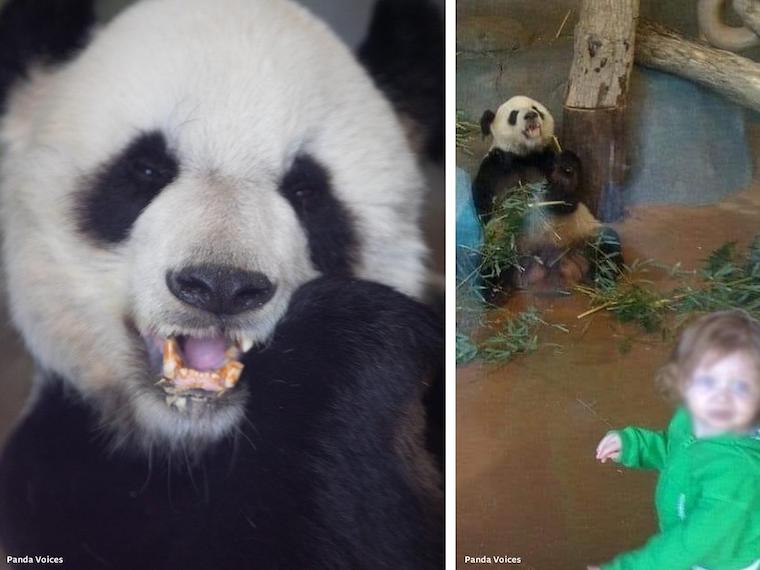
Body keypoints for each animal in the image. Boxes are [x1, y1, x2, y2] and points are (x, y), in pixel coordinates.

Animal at [0, 1, 443, 568]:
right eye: (146, 169)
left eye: (306, 190)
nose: (221, 286)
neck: (199, 439)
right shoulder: (64, 485)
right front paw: (350, 331)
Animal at [472, 95, 622, 293]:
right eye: (513, 114)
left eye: (536, 108)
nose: (530, 115)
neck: (525, 155)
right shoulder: (494, 168)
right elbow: (487, 208)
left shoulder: (546, 159)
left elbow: (568, 201)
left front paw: (564, 176)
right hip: (506, 247)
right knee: (492, 261)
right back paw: (495, 291)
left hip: (584, 235)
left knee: (607, 245)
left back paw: (605, 278)